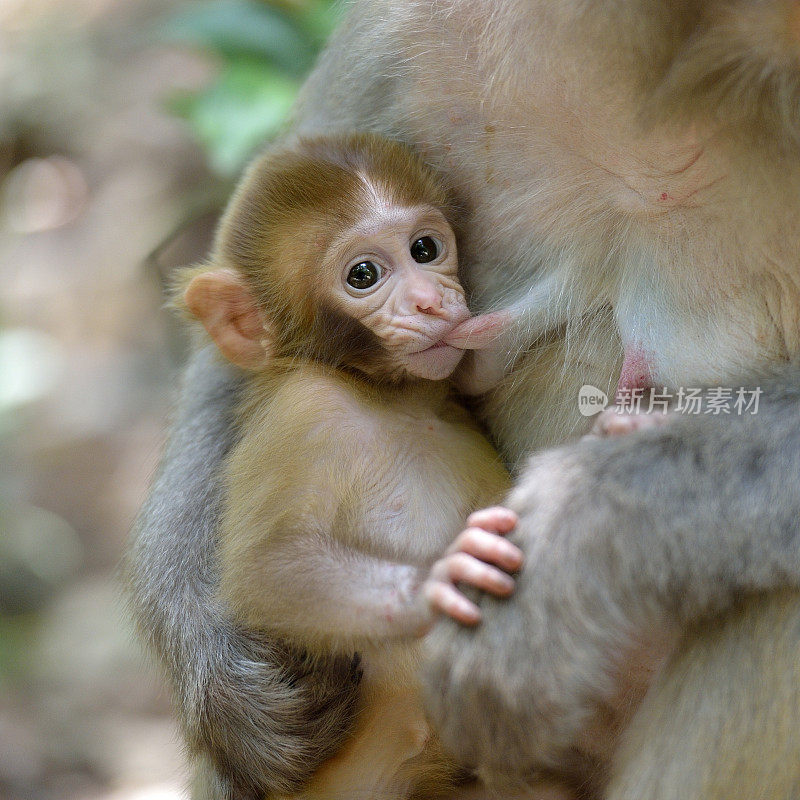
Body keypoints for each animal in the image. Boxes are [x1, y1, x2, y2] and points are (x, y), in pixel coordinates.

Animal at [177, 134, 520, 800]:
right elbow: (268, 570)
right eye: (363, 275)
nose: (430, 300)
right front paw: (440, 581)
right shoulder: (303, 414)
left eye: (425, 249)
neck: (392, 402)